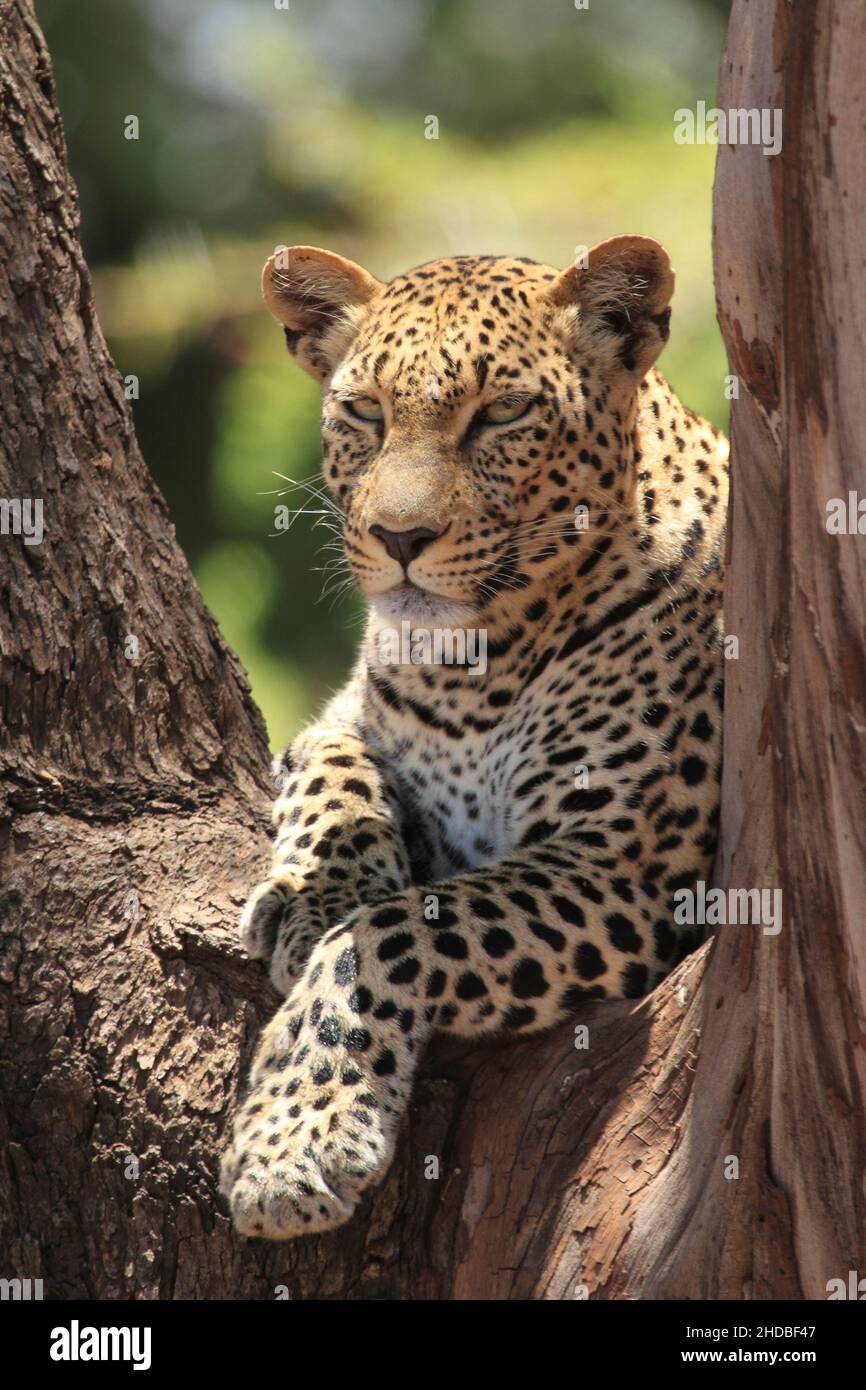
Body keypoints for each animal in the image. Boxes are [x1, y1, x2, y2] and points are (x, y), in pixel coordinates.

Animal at [219, 236, 728, 1239]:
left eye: (502, 413)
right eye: (365, 412)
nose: (399, 536)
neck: (469, 671)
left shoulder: (626, 865)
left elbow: (397, 932)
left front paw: (292, 1144)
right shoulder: (343, 712)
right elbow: (338, 776)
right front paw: (319, 892)